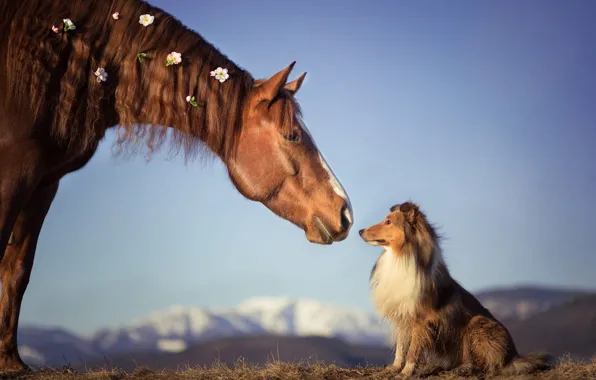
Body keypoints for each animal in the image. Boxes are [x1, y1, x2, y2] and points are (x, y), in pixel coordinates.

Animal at [0, 0, 354, 372]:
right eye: (292, 136)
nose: (344, 212)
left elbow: (18, 267)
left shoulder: (46, 181)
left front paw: (11, 361)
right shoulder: (16, 170)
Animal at [358, 202, 548, 378]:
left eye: (388, 222)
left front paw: (406, 372)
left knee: (490, 366)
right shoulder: (403, 315)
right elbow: (401, 346)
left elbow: (413, 350)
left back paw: (465, 369)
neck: (400, 257)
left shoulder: (420, 319)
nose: (360, 231)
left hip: (477, 323)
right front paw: (395, 368)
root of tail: (513, 356)